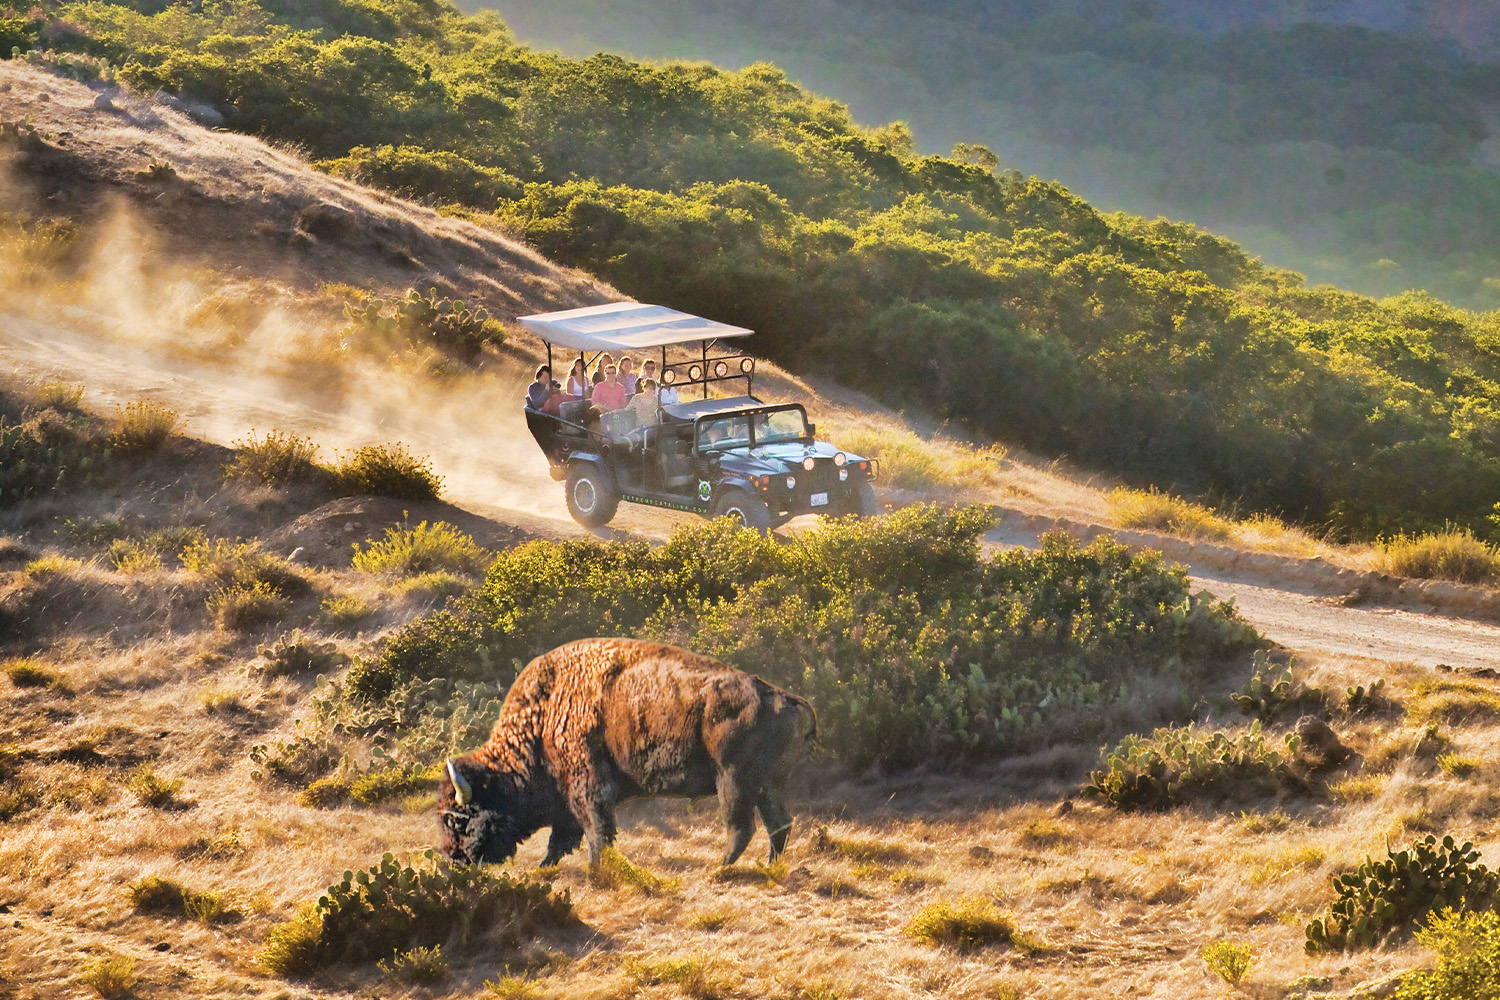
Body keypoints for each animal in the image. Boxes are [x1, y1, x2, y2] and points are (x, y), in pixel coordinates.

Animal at [438, 641, 822, 869]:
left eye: (456, 819)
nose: (453, 860)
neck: (544, 714)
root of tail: (781, 696)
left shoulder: (588, 789)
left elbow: (596, 831)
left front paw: (596, 868)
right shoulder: (567, 798)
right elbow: (563, 837)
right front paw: (546, 866)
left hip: (733, 781)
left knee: (742, 827)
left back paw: (720, 868)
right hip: (768, 786)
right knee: (778, 824)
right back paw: (769, 866)